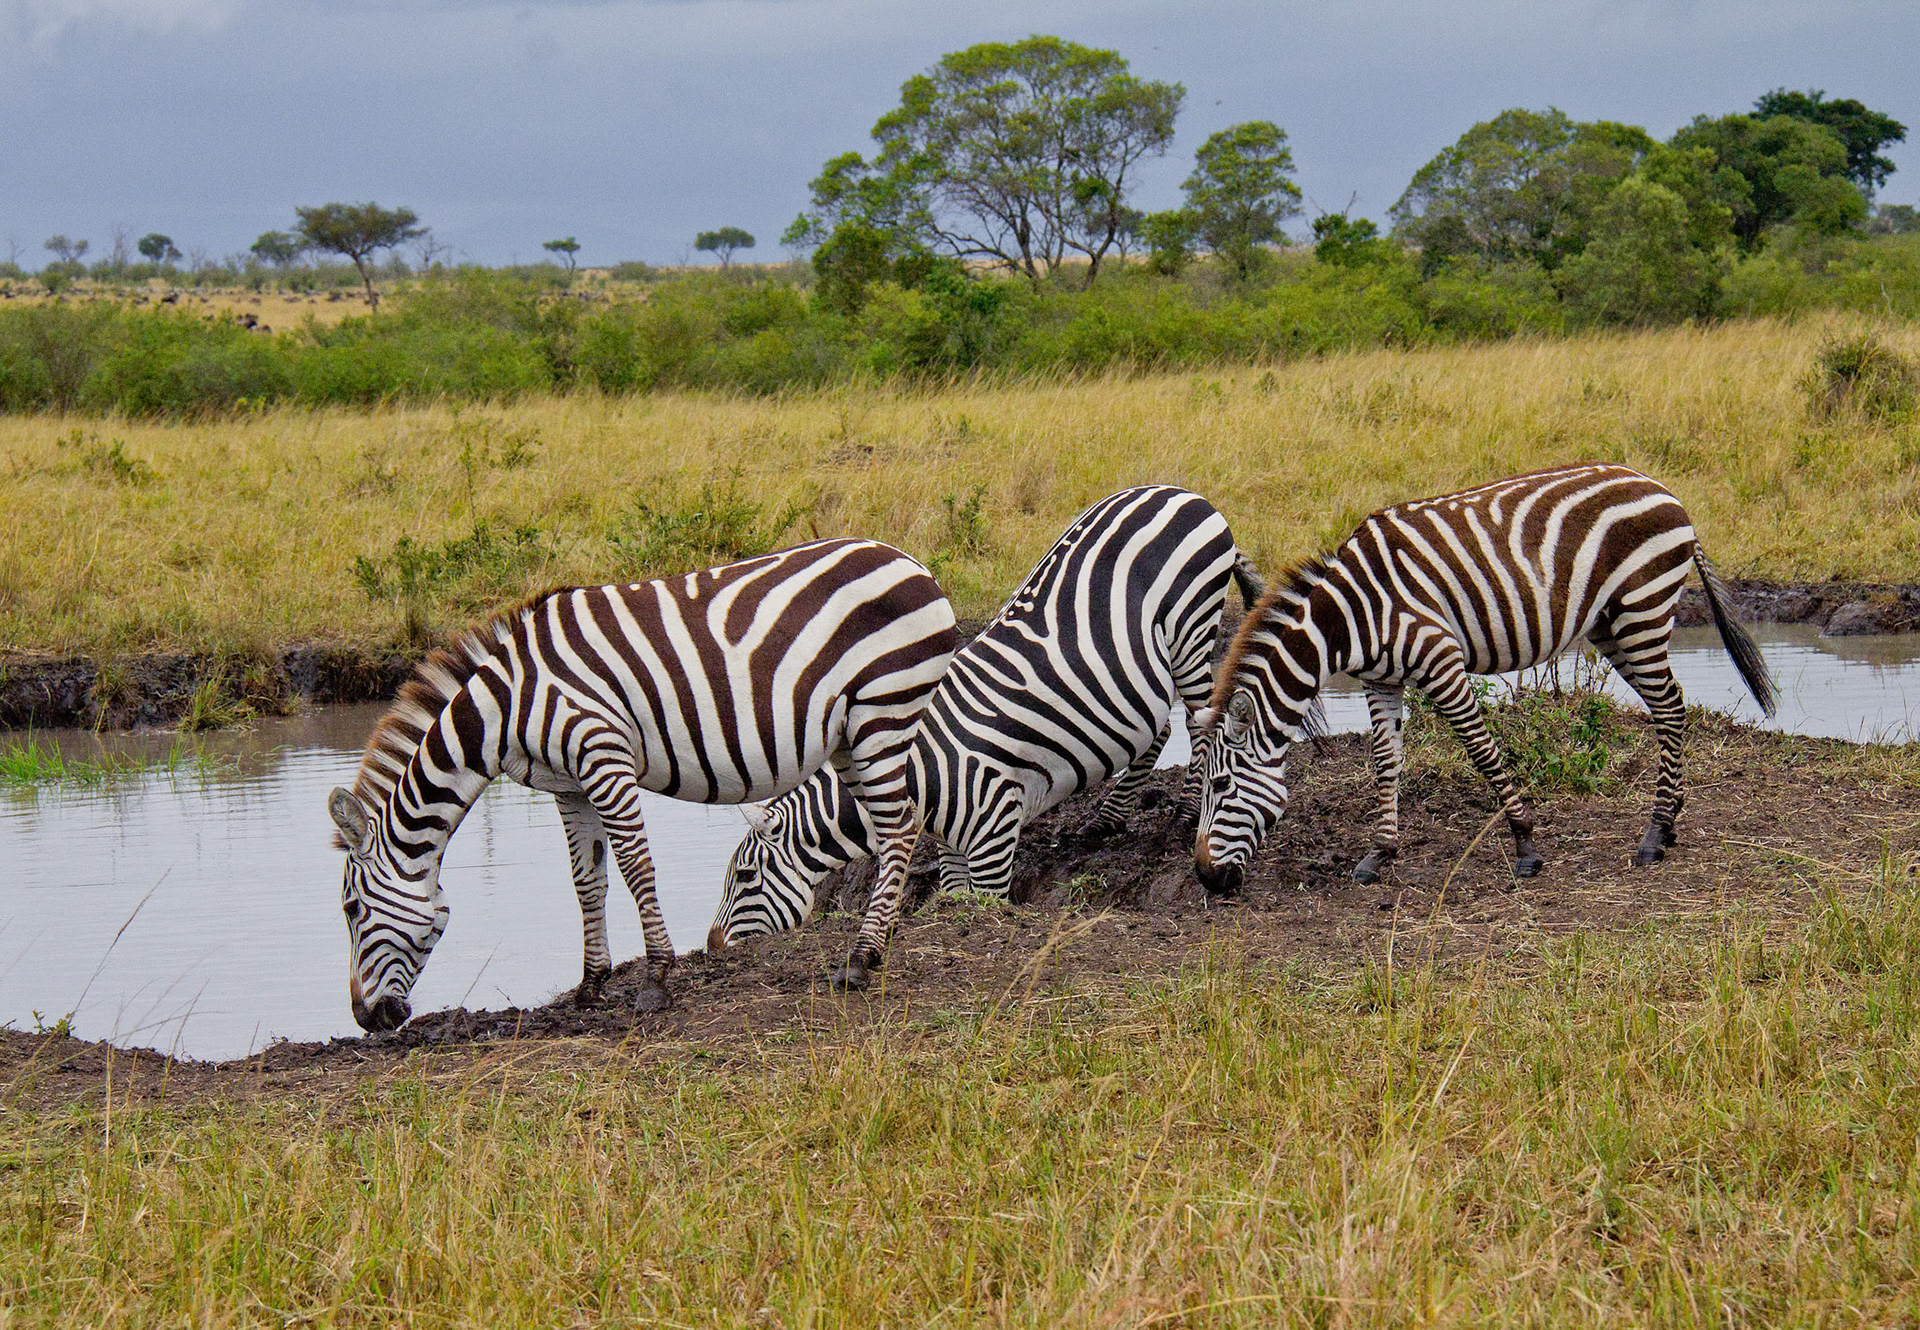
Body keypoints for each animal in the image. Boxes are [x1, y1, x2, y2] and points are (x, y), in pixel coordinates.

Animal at [325, 538, 957, 1031]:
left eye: (352, 908)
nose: (364, 1019)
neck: (506, 707)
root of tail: (911, 562)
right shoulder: (567, 785)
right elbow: (588, 882)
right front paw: (591, 986)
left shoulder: (602, 755)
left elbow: (635, 867)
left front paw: (655, 980)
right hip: (852, 734)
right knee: (895, 824)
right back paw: (875, 948)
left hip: (883, 712)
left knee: (898, 830)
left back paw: (862, 959)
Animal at [708, 485, 1263, 949]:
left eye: (745, 877)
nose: (713, 949)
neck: (919, 771)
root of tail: (1180, 491)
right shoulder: (952, 849)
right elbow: (955, 895)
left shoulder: (996, 834)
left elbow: (988, 903)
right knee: (1159, 725)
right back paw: (1107, 818)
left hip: (1192, 631)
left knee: (1198, 723)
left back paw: (1187, 811)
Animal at [1192, 464, 1777, 894]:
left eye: (1221, 786)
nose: (1205, 878)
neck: (1347, 619)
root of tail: (1661, 488)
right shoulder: (1380, 681)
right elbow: (1385, 763)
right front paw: (1378, 855)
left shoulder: (1441, 661)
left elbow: (1481, 751)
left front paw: (1525, 846)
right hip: (1613, 625)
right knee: (1668, 706)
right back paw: (1669, 821)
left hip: (1642, 609)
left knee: (1670, 707)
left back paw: (1653, 837)